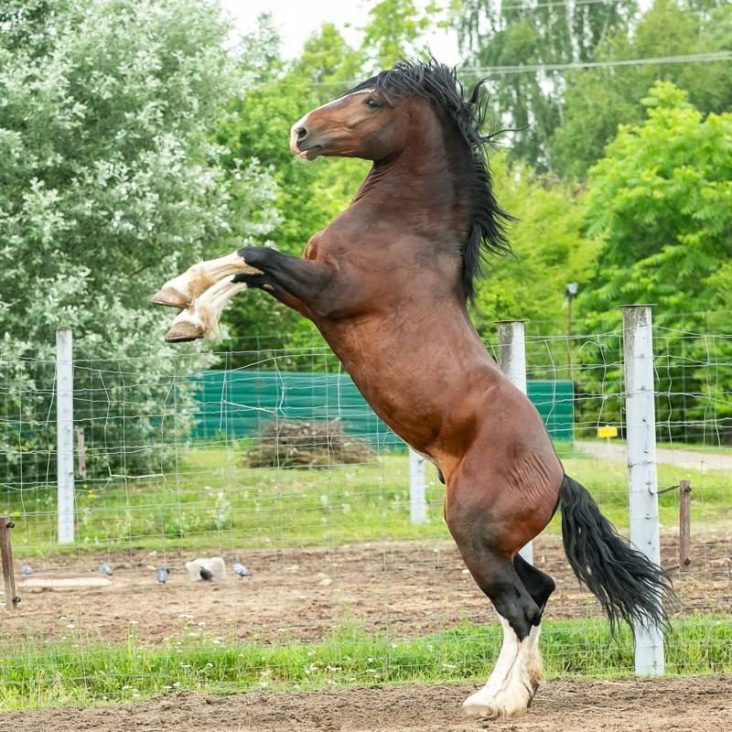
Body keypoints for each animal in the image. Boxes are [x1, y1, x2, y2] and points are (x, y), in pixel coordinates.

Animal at [152, 60, 672, 716]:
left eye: (372, 102)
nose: (300, 133)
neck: (403, 233)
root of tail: (558, 478)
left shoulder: (326, 291)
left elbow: (253, 252)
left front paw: (180, 301)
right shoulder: (304, 292)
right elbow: (247, 270)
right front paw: (183, 314)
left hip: (472, 533)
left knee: (520, 607)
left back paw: (496, 702)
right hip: (497, 544)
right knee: (541, 591)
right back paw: (513, 690)